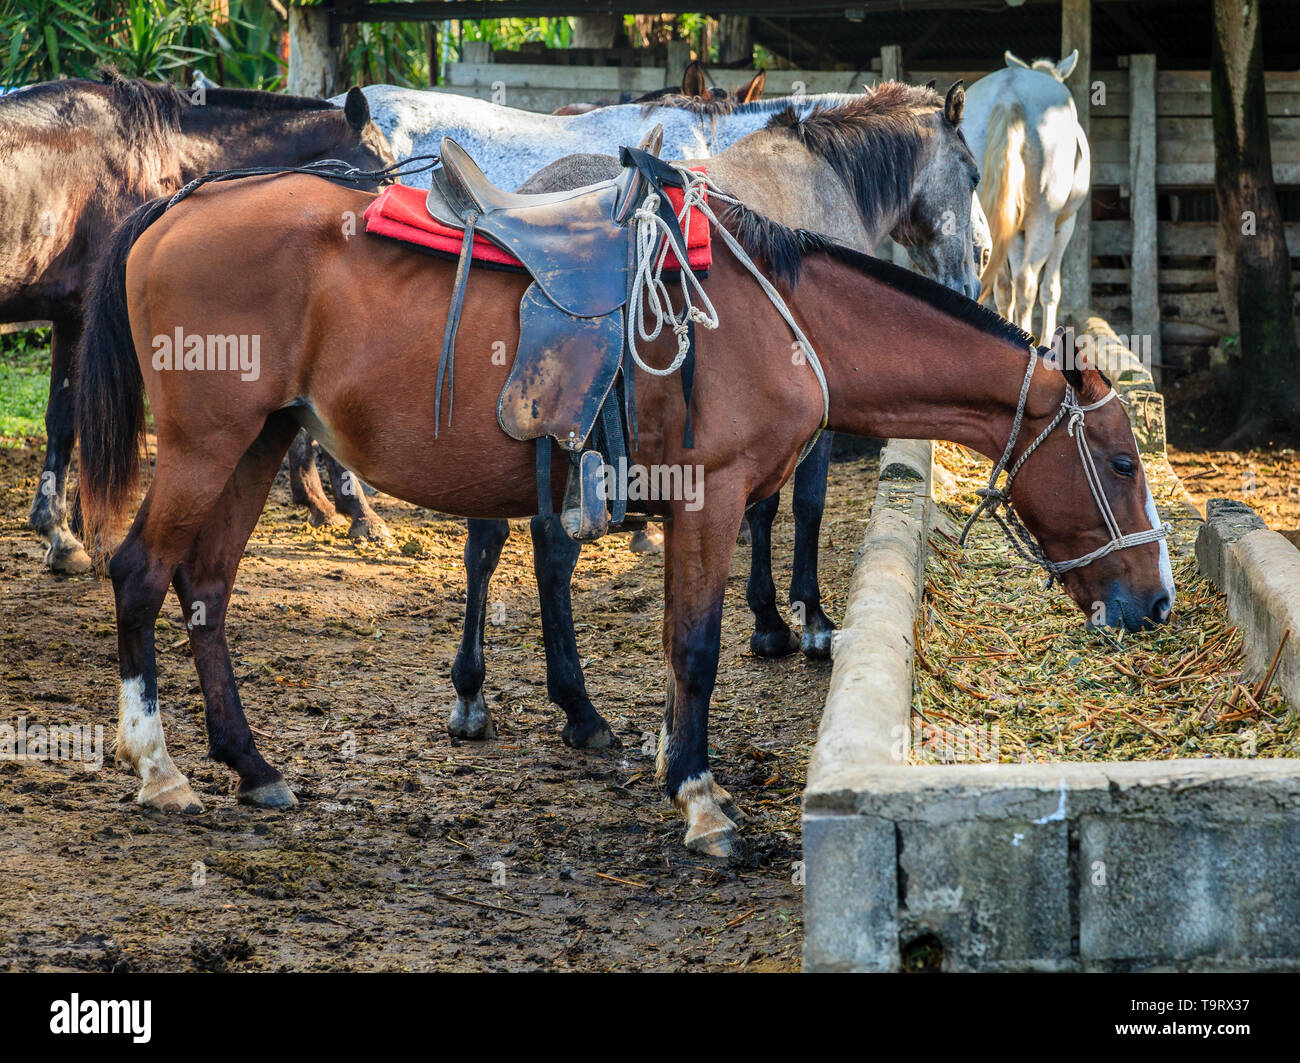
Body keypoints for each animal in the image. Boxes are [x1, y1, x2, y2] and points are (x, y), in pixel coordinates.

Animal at [71, 136, 1175, 857]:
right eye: (1122, 463)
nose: (1157, 602)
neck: (781, 316)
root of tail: (180, 203)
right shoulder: (713, 499)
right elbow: (697, 647)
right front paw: (702, 800)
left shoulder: (699, 507)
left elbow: (680, 641)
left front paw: (666, 765)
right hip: (208, 443)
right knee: (141, 574)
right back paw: (160, 769)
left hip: (259, 439)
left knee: (206, 587)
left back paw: (252, 765)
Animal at [961, 51, 1092, 337]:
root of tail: (1009, 94)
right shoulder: (1065, 226)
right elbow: (1051, 289)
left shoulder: (1014, 232)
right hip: (1042, 220)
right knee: (1026, 283)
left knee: (1001, 284)